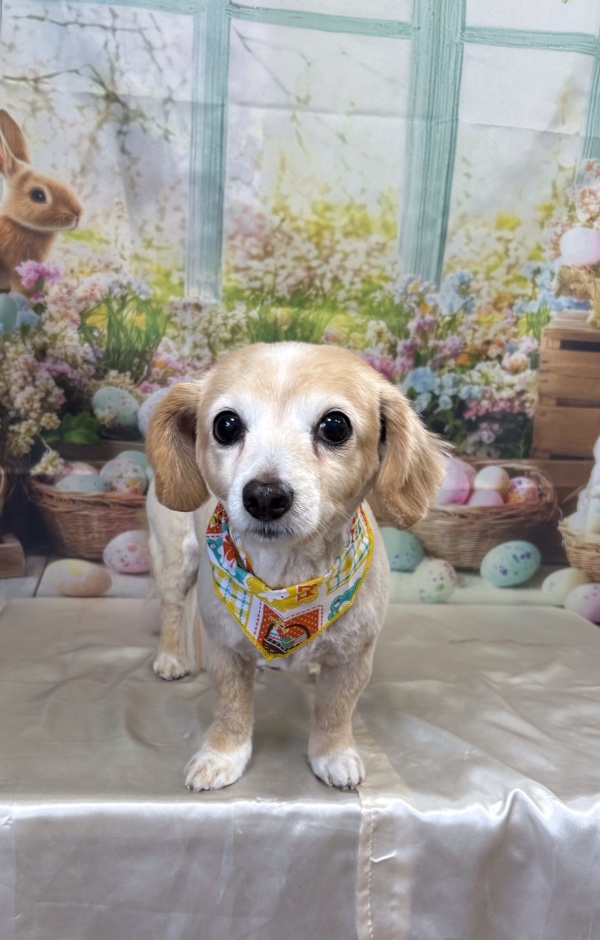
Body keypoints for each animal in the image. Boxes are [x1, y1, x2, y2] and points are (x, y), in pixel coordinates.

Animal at [146, 342, 446, 791]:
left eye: (335, 426)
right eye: (226, 425)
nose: (265, 496)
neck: (287, 578)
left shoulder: (356, 656)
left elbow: (335, 709)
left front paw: (332, 753)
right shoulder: (223, 649)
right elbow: (231, 707)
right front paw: (222, 755)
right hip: (174, 560)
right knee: (171, 609)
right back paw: (170, 657)